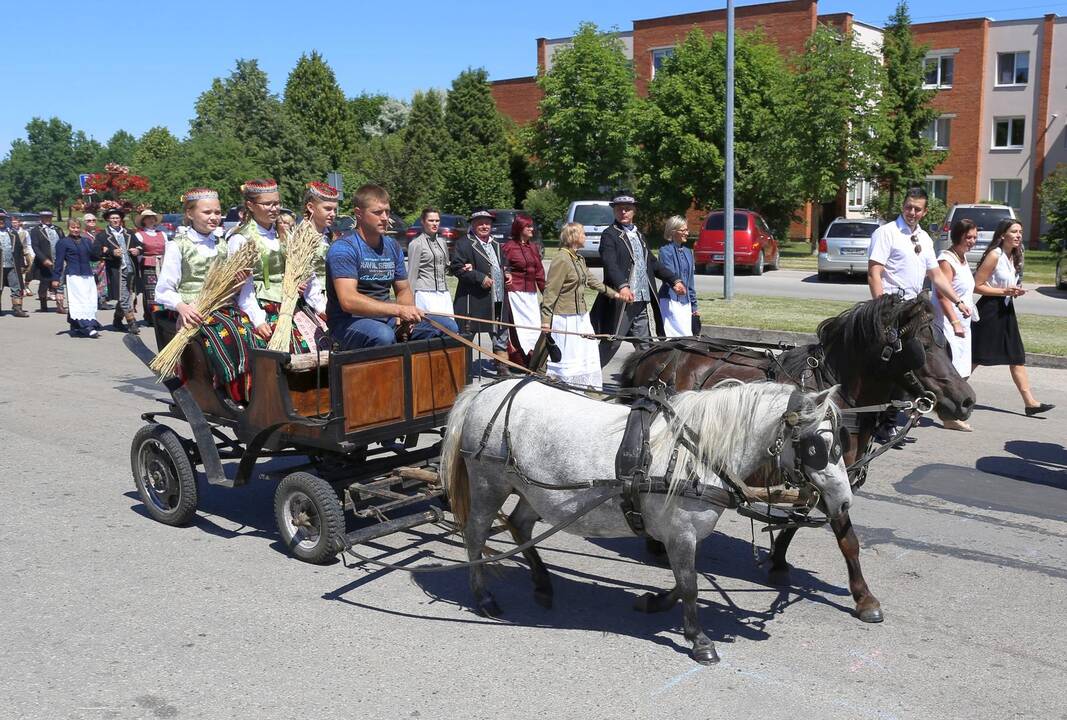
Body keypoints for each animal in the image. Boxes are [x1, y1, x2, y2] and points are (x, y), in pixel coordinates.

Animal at [439, 377, 849, 665]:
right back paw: (484, 596)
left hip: (533, 489)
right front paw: (699, 640)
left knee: (519, 525)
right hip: (489, 482)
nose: (844, 500)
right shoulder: (681, 532)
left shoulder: (683, 534)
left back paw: (542, 584)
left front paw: (655, 602)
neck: (696, 454)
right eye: (818, 447)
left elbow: (683, 580)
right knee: (476, 534)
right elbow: (690, 585)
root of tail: (486, 389)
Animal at [618, 292, 977, 627]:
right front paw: (864, 597)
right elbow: (848, 540)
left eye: (947, 347)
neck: (842, 398)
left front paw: (778, 562)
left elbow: (797, 520)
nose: (966, 401)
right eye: (924, 347)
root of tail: (651, 353)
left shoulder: (818, 478)